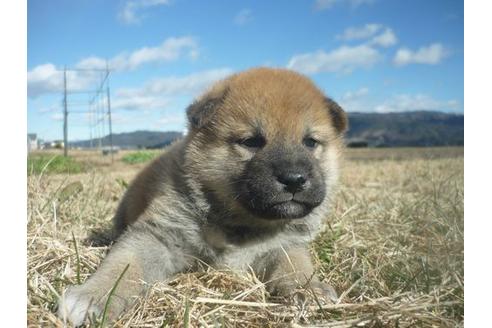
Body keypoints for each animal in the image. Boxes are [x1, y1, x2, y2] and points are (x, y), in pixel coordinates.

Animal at [57, 66, 348, 326]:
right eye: (251, 141)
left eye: (310, 142)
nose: (294, 179)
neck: (241, 223)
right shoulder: (157, 236)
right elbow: (124, 266)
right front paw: (93, 296)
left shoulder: (286, 245)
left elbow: (296, 266)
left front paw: (310, 290)